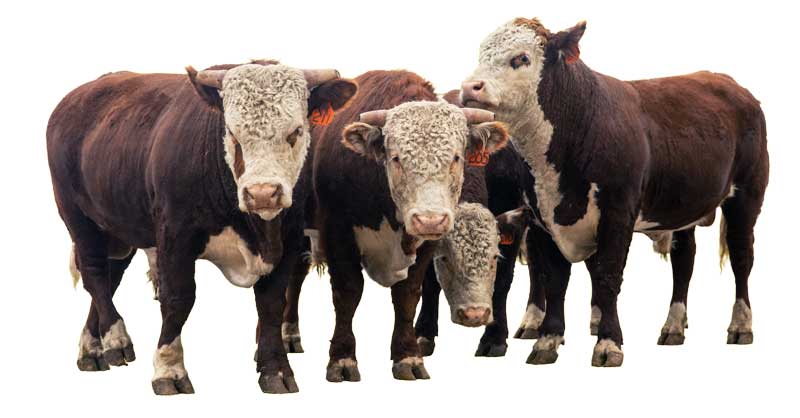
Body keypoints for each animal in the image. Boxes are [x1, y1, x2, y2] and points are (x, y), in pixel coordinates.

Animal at [47, 60, 357, 394]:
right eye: (232, 132)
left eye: (296, 131)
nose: (262, 193)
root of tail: (74, 99)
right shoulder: (175, 235)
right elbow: (178, 298)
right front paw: (169, 370)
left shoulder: (289, 237)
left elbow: (273, 302)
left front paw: (276, 369)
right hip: (77, 216)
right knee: (94, 274)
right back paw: (116, 339)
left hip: (119, 229)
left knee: (109, 277)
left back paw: (92, 348)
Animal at [312, 70, 509, 381]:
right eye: (396, 158)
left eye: (456, 157)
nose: (429, 218)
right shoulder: (337, 232)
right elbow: (347, 293)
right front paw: (342, 359)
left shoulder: (427, 242)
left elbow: (408, 295)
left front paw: (407, 356)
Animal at [461, 17, 769, 366]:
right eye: (482, 52)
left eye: (521, 58)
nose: (470, 87)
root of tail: (730, 83)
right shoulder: (541, 218)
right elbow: (554, 279)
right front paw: (548, 340)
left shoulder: (618, 212)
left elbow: (607, 276)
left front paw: (608, 343)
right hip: (683, 206)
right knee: (684, 262)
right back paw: (674, 326)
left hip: (747, 195)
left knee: (742, 257)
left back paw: (741, 326)